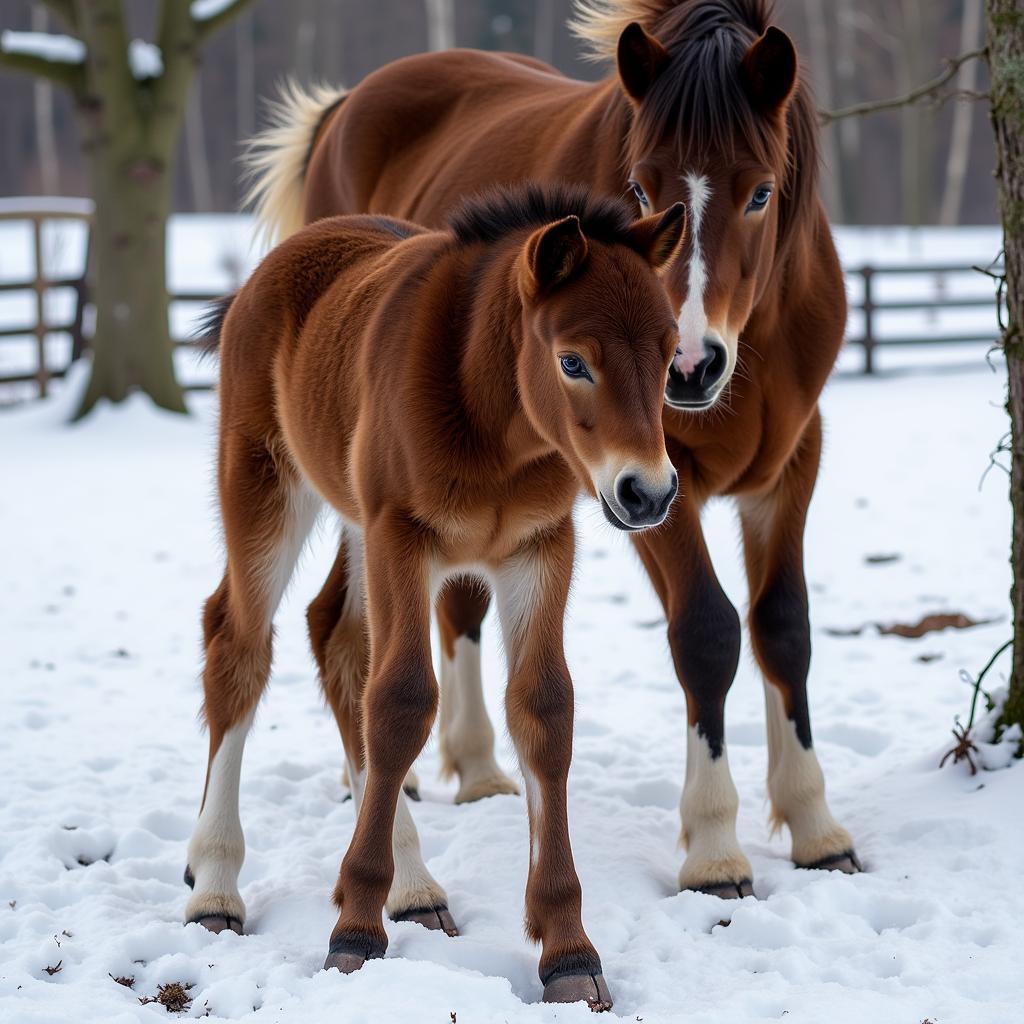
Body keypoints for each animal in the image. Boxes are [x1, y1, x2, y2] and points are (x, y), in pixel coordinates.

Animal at [187, 182, 684, 1007]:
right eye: (572, 360)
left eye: (673, 354)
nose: (647, 493)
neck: (495, 421)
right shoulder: (403, 536)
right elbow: (401, 703)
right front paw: (353, 932)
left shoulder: (540, 549)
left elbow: (543, 711)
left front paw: (568, 949)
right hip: (267, 490)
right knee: (241, 647)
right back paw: (216, 885)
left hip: (355, 524)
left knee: (338, 641)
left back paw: (414, 886)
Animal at [243, 0, 860, 897]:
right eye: (639, 184)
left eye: (762, 191)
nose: (690, 364)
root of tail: (346, 107)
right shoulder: (651, 482)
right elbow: (707, 630)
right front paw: (715, 844)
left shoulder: (788, 462)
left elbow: (785, 626)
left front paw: (814, 823)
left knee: (432, 605)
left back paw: (474, 768)